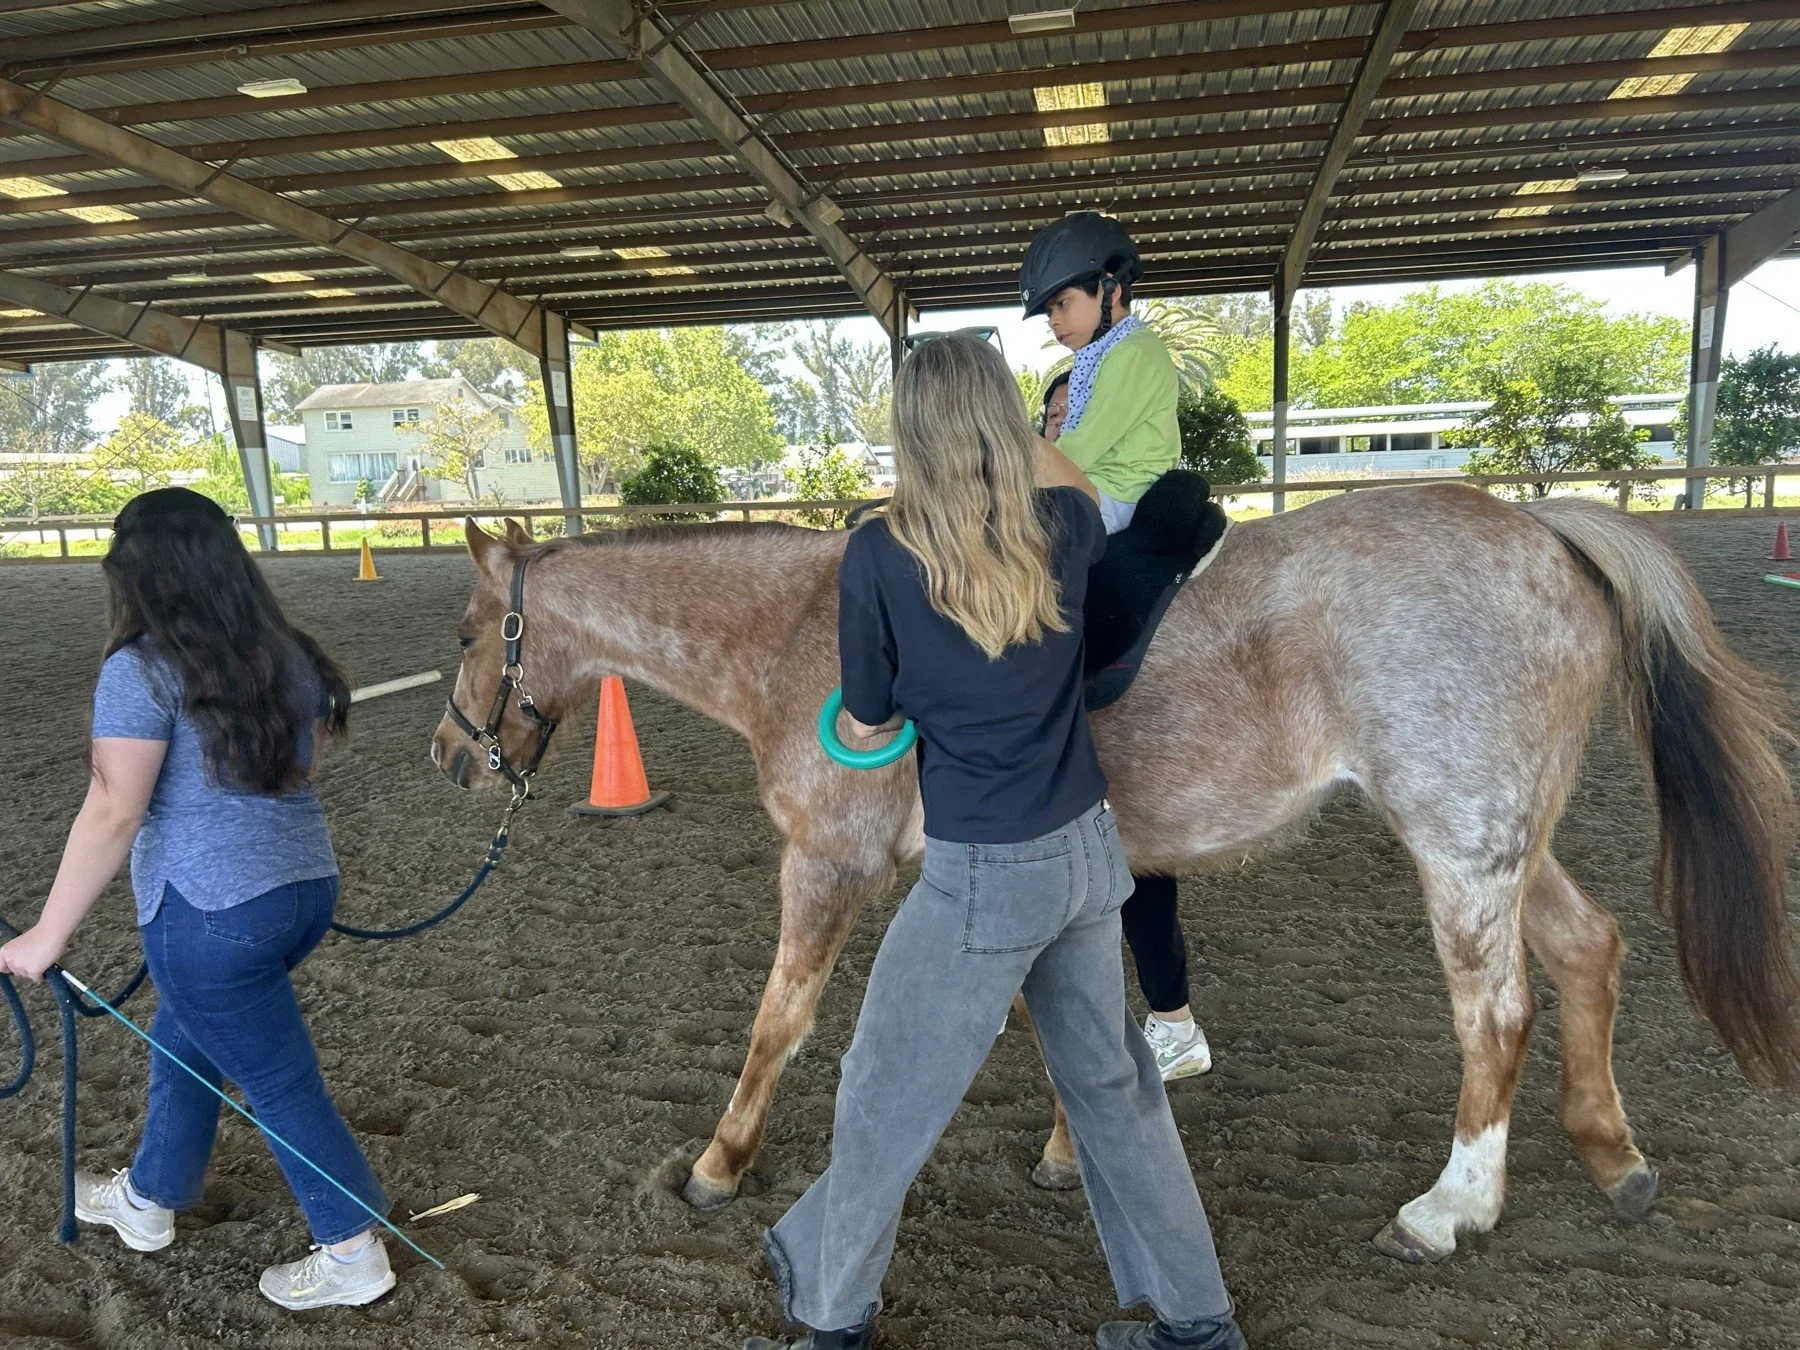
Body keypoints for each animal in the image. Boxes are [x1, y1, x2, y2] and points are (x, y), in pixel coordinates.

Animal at [430, 483, 1798, 1264]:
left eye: (468, 632)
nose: (452, 757)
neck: (803, 632)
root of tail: (1544, 529)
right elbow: (1058, 1020)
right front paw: (1065, 1149)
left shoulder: (827, 860)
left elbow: (782, 1021)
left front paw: (719, 1165)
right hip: (1510, 840)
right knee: (1590, 948)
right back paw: (1611, 1154)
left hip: (1459, 845)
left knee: (1496, 1012)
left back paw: (1449, 1209)